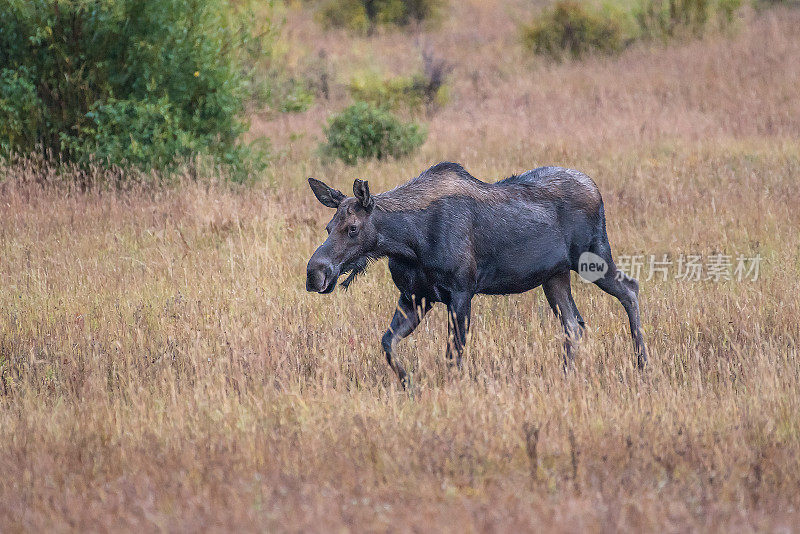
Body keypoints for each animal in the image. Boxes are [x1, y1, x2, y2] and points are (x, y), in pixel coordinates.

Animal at [304, 161, 648, 388]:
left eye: (352, 228)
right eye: (328, 227)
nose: (315, 273)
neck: (408, 242)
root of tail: (595, 188)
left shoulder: (461, 292)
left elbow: (453, 354)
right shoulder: (415, 297)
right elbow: (388, 344)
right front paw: (409, 384)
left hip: (594, 257)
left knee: (630, 288)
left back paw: (642, 364)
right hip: (555, 276)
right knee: (574, 324)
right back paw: (567, 376)